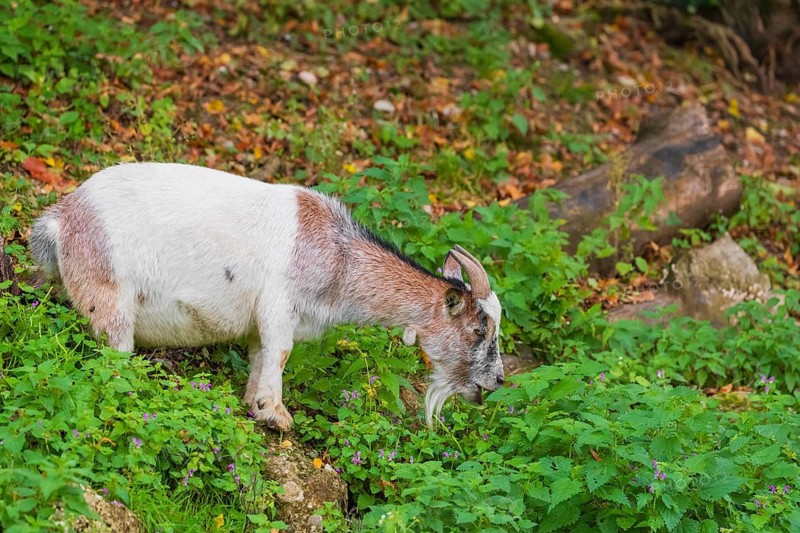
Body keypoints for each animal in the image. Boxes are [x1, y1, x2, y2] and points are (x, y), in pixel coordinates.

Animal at [29, 163, 504, 431]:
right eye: (479, 328)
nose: (497, 382)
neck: (338, 254)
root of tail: (63, 218)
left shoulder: (261, 323)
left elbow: (261, 355)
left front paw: (253, 404)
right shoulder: (279, 307)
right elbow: (281, 352)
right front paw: (276, 414)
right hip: (109, 301)